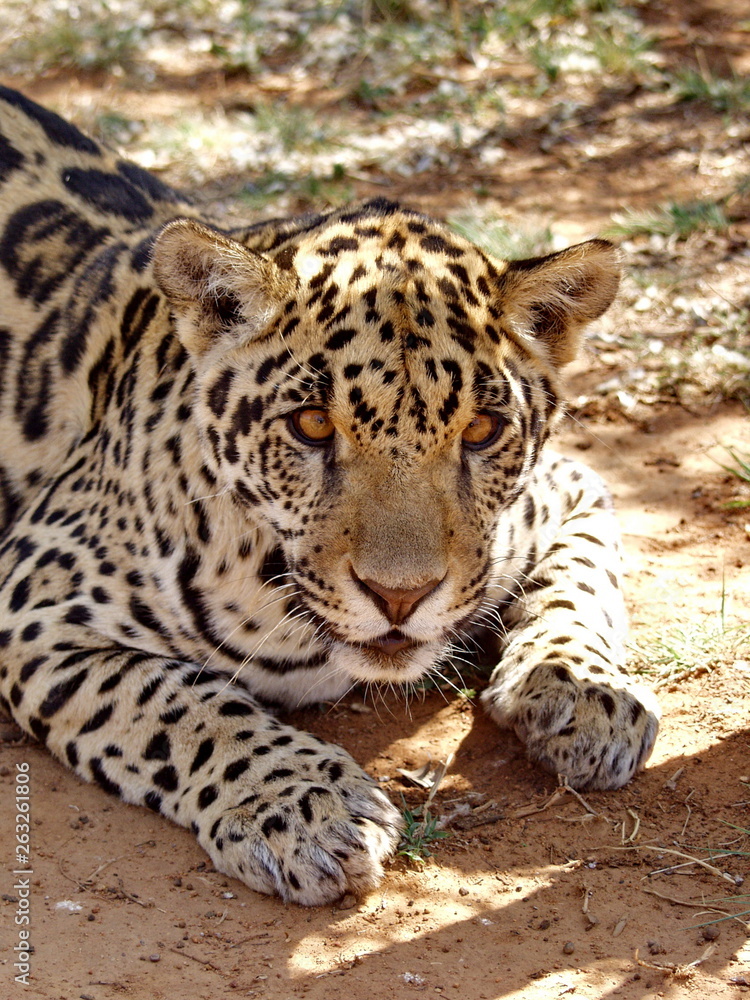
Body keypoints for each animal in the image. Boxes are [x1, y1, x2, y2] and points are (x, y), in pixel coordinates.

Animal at [0, 87, 659, 906]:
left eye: (481, 430)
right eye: (311, 424)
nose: (400, 596)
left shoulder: (571, 488)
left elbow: (584, 585)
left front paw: (583, 690)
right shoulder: (37, 594)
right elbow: (178, 702)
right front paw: (304, 807)